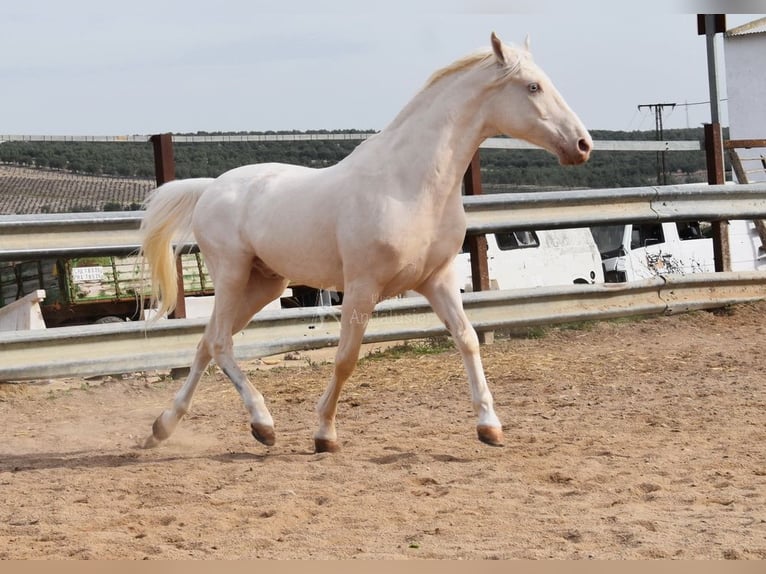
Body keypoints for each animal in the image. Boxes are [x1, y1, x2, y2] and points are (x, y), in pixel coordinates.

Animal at [140, 32, 592, 454]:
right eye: (532, 86)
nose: (583, 144)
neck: (410, 185)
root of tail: (211, 188)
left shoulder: (439, 280)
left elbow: (467, 339)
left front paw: (490, 427)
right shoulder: (362, 287)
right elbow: (346, 359)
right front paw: (324, 434)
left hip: (264, 283)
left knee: (207, 343)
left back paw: (164, 427)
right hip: (232, 274)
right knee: (219, 342)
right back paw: (262, 424)